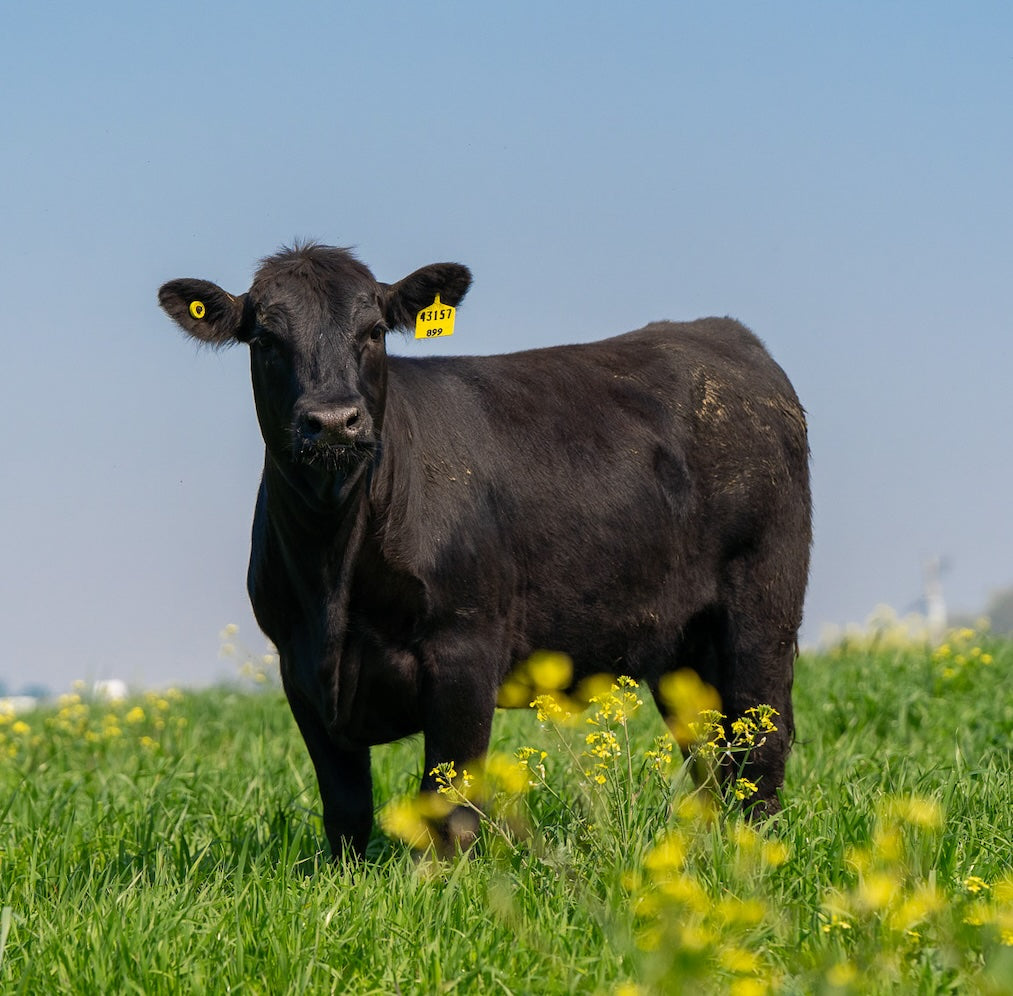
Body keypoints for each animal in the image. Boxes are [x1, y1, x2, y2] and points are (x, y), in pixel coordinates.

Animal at [158, 243, 811, 858]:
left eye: (373, 331)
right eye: (266, 339)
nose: (335, 421)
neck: (333, 571)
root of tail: (723, 334)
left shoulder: (464, 649)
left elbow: (450, 804)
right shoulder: (299, 668)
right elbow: (345, 808)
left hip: (762, 607)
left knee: (760, 741)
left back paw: (755, 850)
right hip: (683, 643)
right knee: (711, 753)